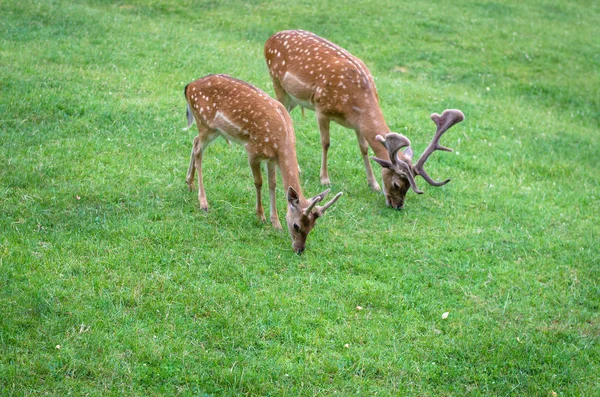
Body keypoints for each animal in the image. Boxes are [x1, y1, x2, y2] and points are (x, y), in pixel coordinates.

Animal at [183, 73, 342, 254]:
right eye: (296, 225)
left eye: (312, 227)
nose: (300, 249)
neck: (282, 140)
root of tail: (189, 87)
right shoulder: (253, 151)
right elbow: (258, 182)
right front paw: (260, 215)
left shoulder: (271, 159)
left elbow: (272, 184)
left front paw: (276, 223)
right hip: (205, 123)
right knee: (198, 151)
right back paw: (203, 202)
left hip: (213, 129)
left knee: (195, 141)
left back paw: (189, 183)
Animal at [264, 30, 466, 210]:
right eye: (397, 184)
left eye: (409, 186)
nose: (398, 206)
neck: (356, 104)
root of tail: (269, 39)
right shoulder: (322, 108)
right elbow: (326, 143)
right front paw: (325, 179)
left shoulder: (357, 125)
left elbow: (364, 149)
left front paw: (373, 184)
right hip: (277, 82)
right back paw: (297, 167)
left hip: (293, 97)